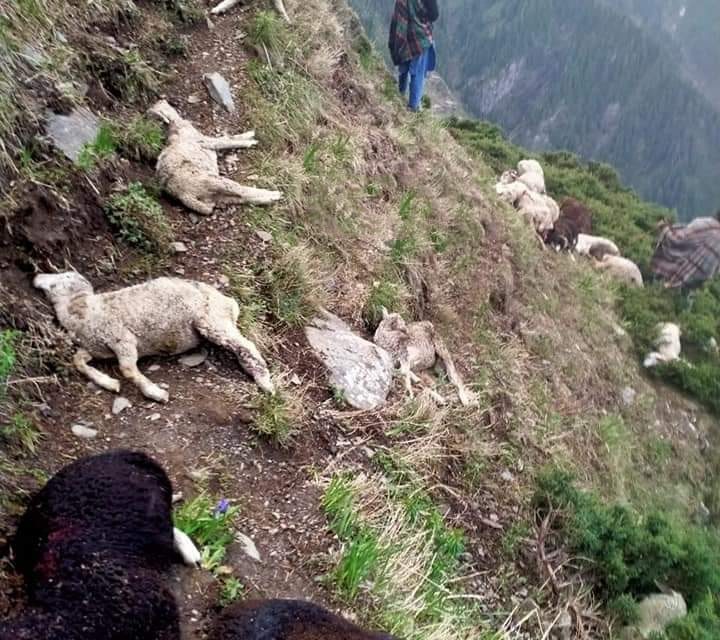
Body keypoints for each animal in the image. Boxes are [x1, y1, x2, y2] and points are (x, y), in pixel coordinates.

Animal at [34, 271, 274, 403]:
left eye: (63, 277)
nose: (36, 276)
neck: (82, 311)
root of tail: (227, 300)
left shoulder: (122, 339)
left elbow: (127, 369)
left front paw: (154, 392)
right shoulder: (94, 348)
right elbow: (78, 362)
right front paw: (108, 382)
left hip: (212, 320)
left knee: (247, 346)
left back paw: (265, 382)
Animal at [149, 99, 281, 215]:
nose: (162, 100)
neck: (174, 125)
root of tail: (183, 194)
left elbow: (228, 138)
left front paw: (249, 136)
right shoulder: (206, 141)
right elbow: (227, 141)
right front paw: (250, 140)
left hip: (216, 196)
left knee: (242, 197)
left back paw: (270, 199)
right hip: (215, 182)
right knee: (243, 192)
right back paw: (275, 195)